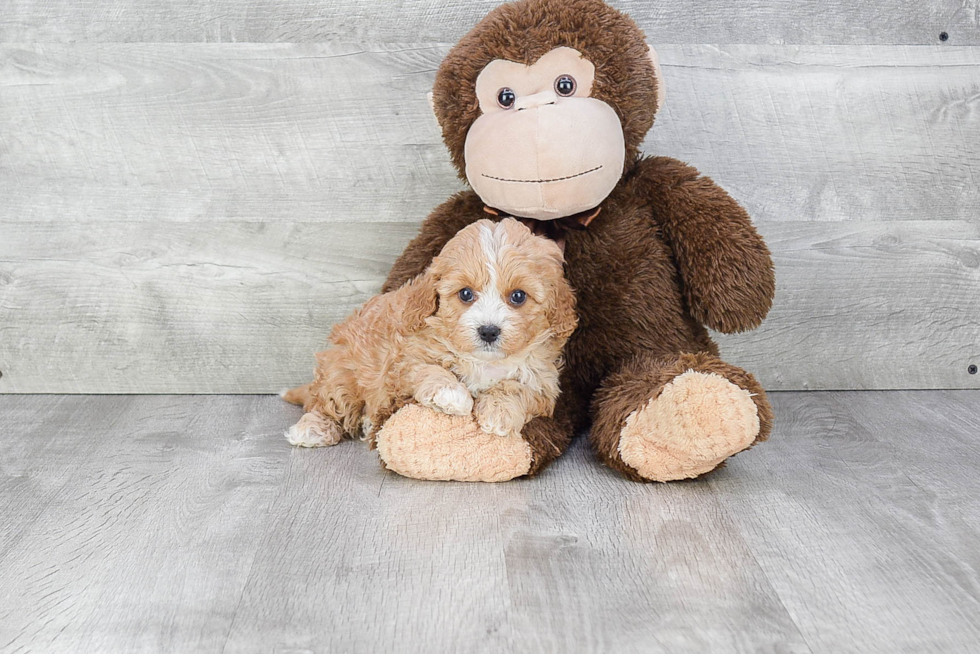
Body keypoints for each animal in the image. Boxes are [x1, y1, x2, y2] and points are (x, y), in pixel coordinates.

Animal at [282, 218, 576, 448]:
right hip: (342, 373)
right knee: (326, 403)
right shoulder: (403, 364)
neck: (484, 361)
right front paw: (451, 395)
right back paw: (313, 428)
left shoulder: (543, 383)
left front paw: (498, 412)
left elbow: (516, 388)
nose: (488, 331)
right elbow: (430, 369)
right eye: (465, 294)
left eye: (518, 296)